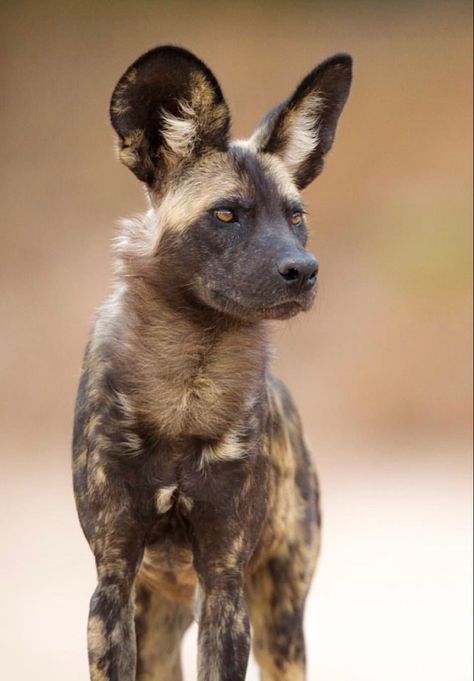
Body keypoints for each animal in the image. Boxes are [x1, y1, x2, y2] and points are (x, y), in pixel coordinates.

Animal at [72, 45, 350, 676]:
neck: (187, 389)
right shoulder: (113, 580)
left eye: (295, 216)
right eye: (226, 215)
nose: (304, 270)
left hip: (279, 629)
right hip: (153, 627)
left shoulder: (225, 580)